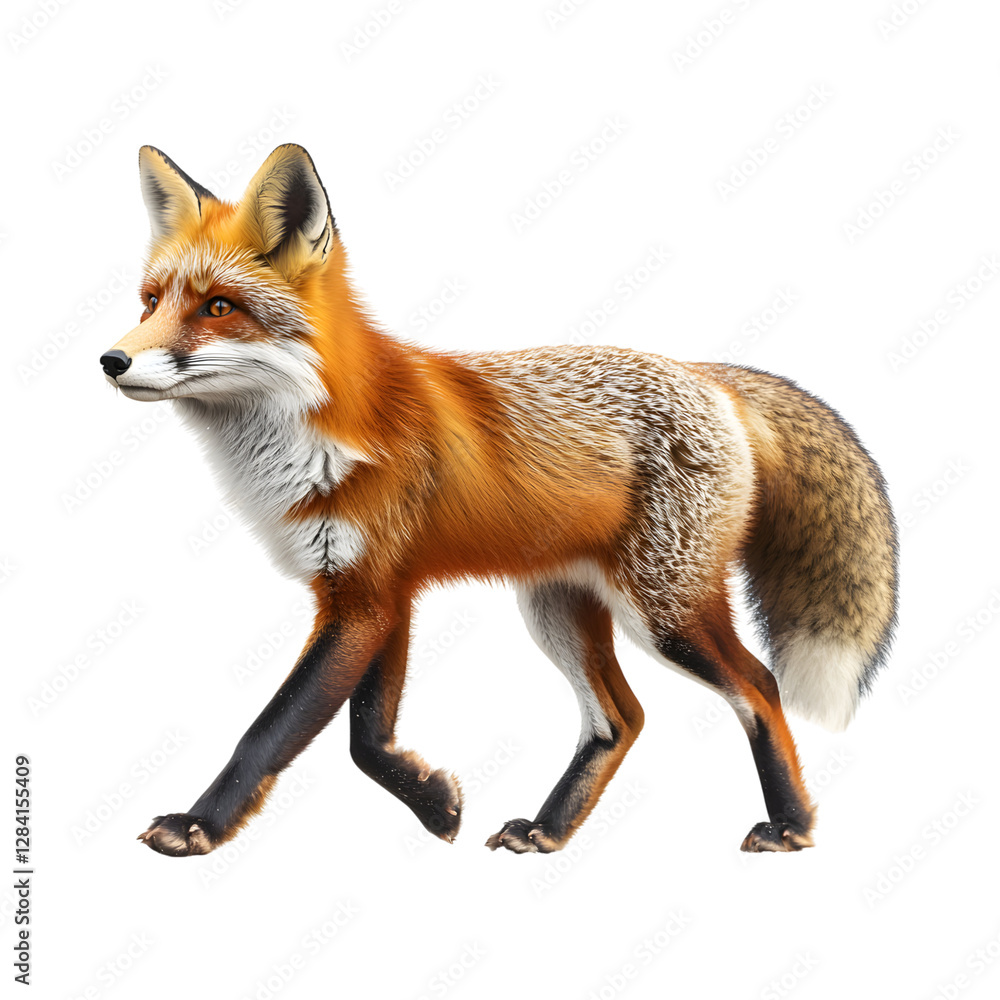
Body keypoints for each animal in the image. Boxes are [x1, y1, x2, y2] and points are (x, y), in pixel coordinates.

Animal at [100, 144, 898, 859]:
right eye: (150, 302)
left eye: (218, 307)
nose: (112, 360)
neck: (317, 434)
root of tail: (710, 376)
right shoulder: (377, 589)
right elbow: (367, 737)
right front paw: (436, 803)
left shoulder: (364, 598)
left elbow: (271, 731)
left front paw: (197, 827)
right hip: (557, 607)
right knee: (621, 718)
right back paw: (550, 830)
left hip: (664, 610)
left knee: (758, 687)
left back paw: (792, 826)